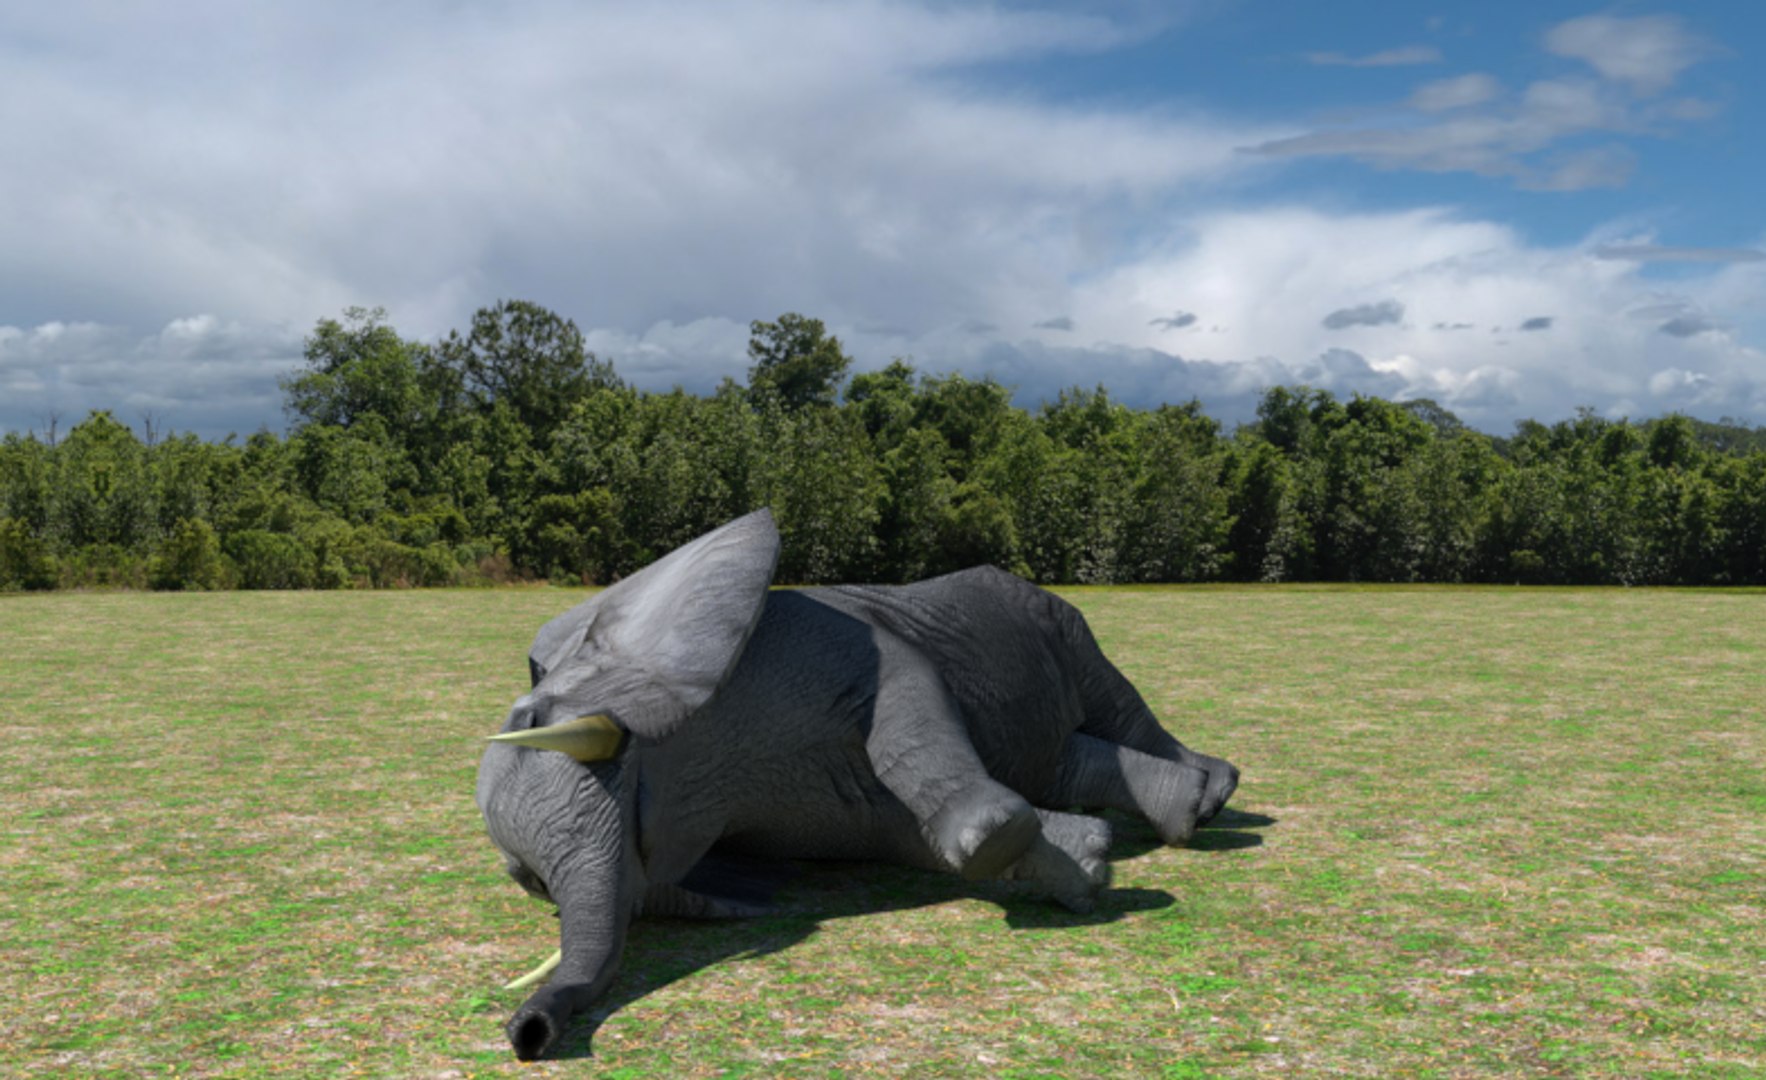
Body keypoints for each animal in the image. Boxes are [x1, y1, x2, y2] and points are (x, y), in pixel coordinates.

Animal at [476, 508, 1239, 1060]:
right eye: (531, 882)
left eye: (534, 721)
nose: (528, 1036)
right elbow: (897, 832)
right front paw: (1082, 866)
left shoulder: (817, 637)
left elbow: (908, 697)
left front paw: (1003, 837)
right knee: (1067, 755)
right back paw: (1180, 810)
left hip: (1058, 620)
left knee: (1116, 702)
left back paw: (1213, 800)